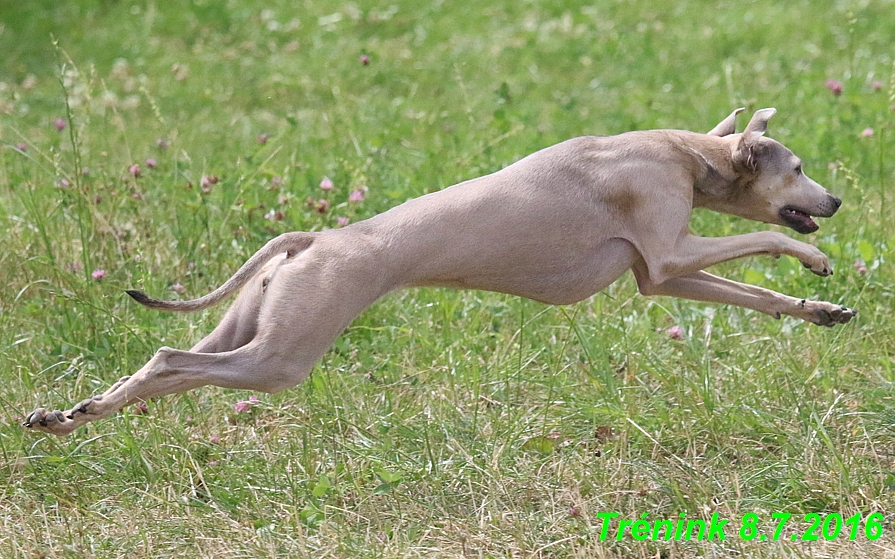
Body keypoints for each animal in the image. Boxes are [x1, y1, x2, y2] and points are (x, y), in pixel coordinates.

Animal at [26, 107, 856, 436]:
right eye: (797, 168)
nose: (836, 201)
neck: (681, 152)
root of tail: (313, 238)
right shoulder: (674, 253)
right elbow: (767, 244)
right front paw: (815, 257)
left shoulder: (662, 274)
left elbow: (757, 292)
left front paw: (822, 312)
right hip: (280, 356)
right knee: (175, 361)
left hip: (249, 329)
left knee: (163, 359)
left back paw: (69, 414)